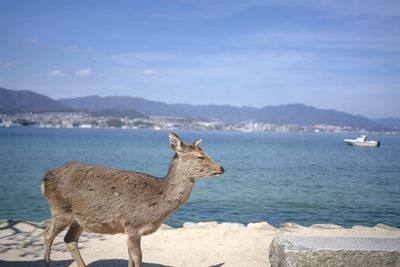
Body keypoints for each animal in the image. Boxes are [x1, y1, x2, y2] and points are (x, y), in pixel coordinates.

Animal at [43, 133, 225, 266]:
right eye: (200, 156)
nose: (221, 168)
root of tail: (45, 178)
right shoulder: (133, 224)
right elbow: (138, 257)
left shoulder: (131, 230)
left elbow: (131, 257)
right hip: (61, 209)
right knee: (48, 234)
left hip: (79, 219)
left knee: (69, 239)